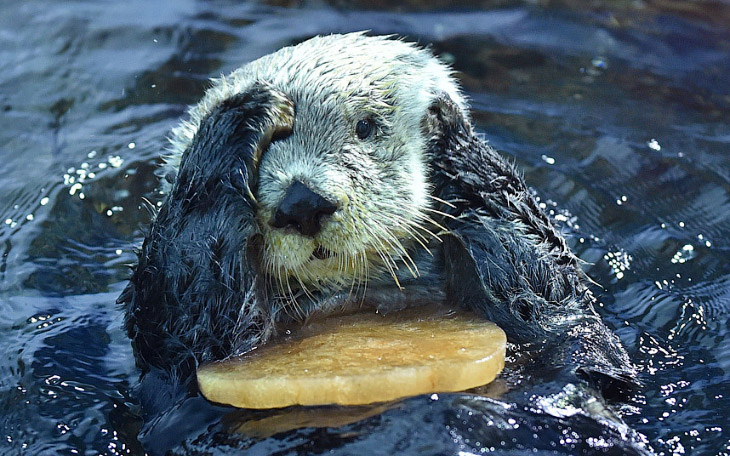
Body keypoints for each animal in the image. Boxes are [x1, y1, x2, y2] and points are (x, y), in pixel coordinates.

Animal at [121, 31, 648, 452]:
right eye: (262, 153)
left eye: (365, 126)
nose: (302, 203)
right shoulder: (178, 366)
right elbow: (191, 323)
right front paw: (236, 118)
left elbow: (550, 300)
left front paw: (447, 130)